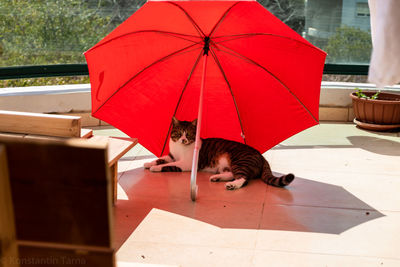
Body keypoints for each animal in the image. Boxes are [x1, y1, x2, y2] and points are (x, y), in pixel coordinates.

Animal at [144, 118, 294, 191]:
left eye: (189, 134)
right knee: (232, 174)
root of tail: (262, 156)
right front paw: (149, 163)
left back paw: (232, 185)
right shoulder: (171, 155)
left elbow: (168, 165)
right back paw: (217, 178)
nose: (183, 140)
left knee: (243, 178)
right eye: (180, 133)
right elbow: (162, 159)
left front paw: (155, 168)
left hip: (240, 160)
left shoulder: (186, 164)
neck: (180, 148)